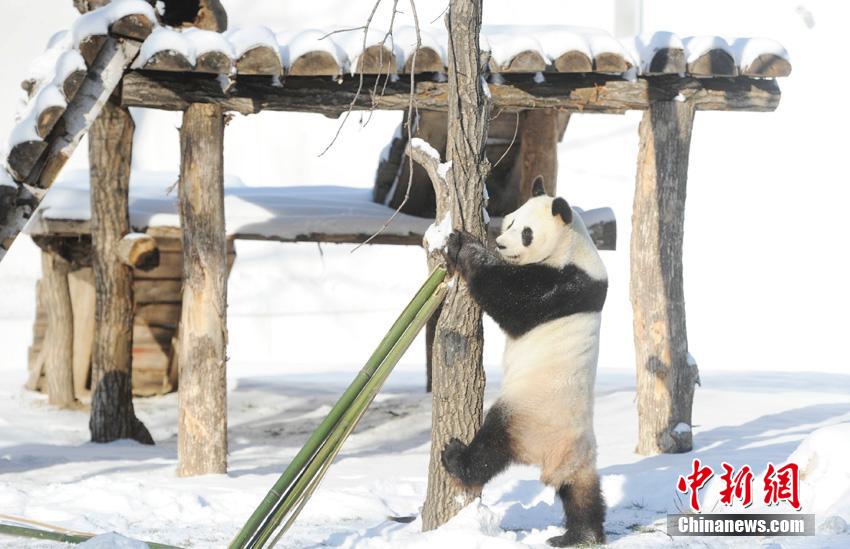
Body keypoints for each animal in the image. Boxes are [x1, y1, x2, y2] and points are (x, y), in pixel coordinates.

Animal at [440, 176, 608, 547]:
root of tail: (550, 456)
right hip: (578, 451)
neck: (572, 247)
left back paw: (457, 459)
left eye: (526, 232)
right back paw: (581, 535)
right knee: (580, 489)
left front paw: (462, 245)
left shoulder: (562, 284)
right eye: (510, 221)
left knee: (491, 446)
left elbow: (509, 298)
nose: (501, 244)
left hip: (526, 413)